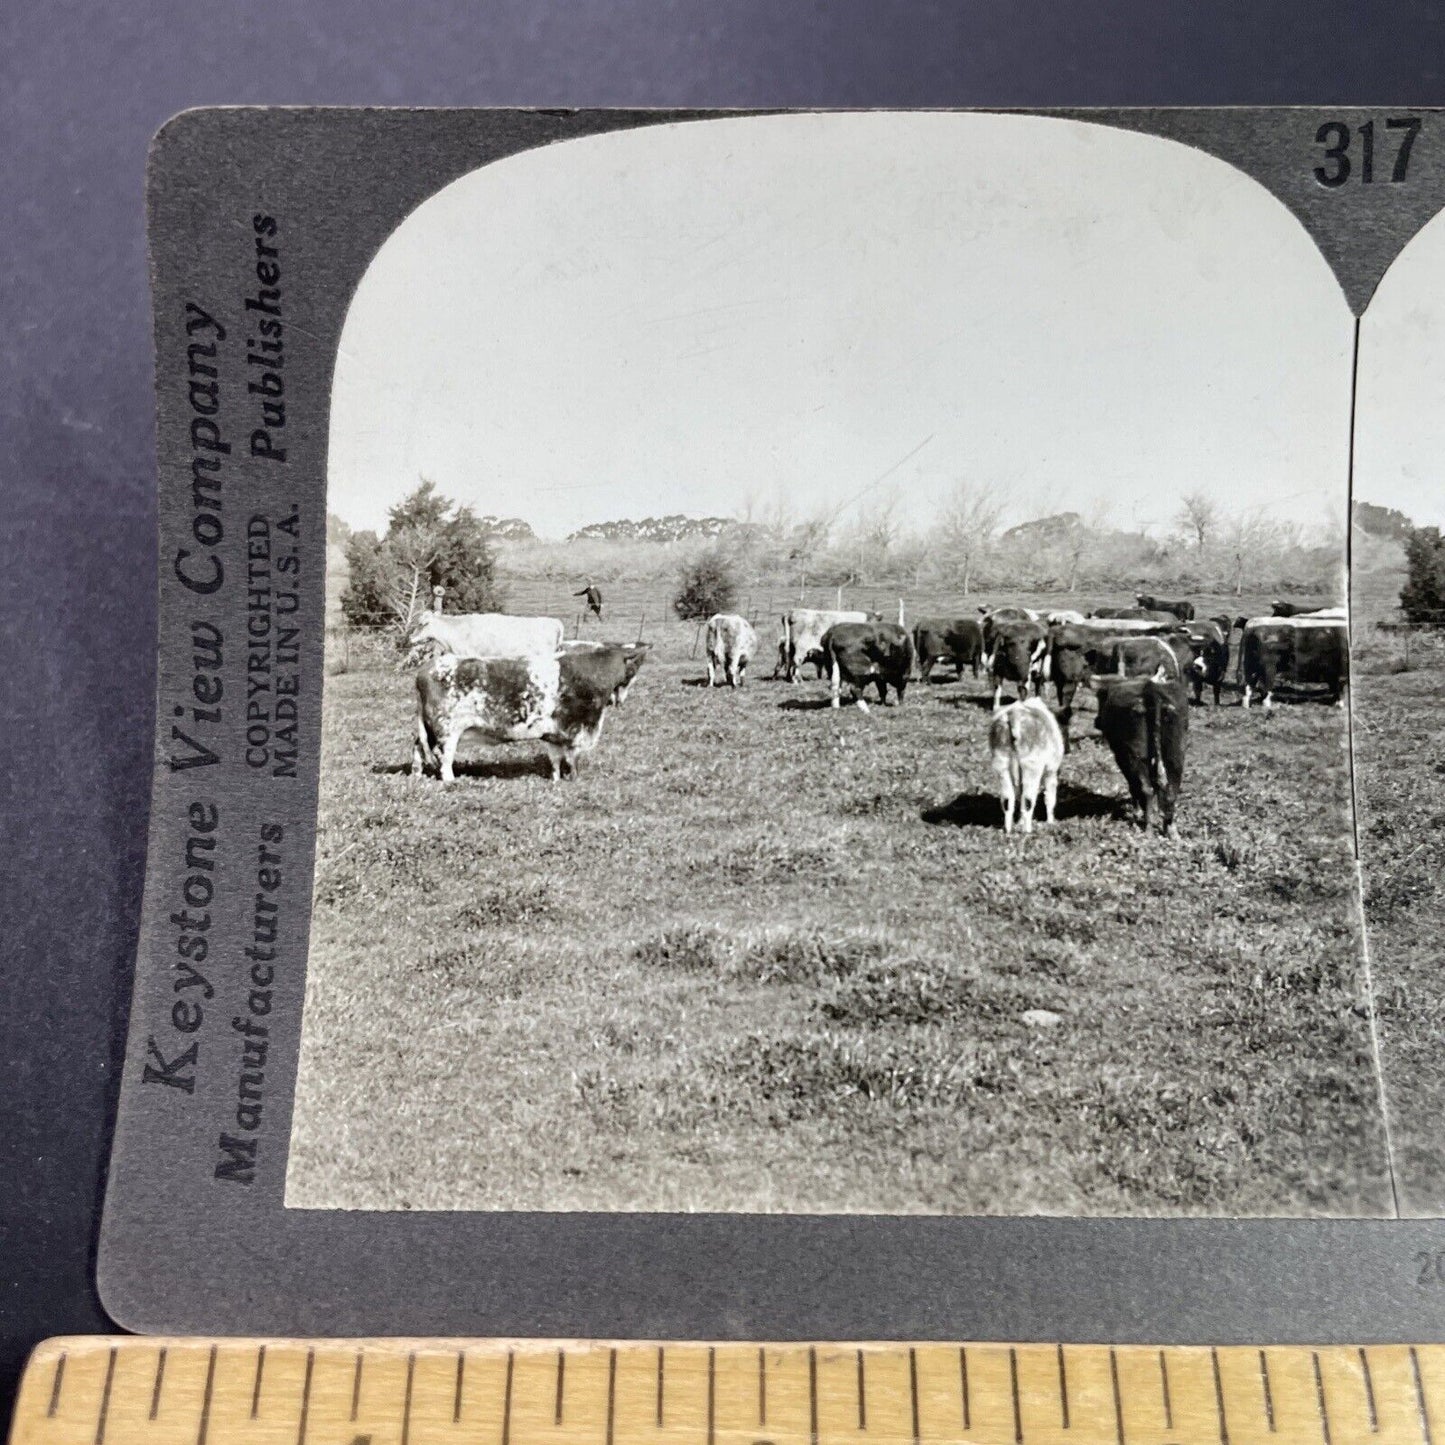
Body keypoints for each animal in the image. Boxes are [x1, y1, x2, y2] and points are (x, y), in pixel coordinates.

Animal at [413, 644, 650, 780]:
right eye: (632, 670)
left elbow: (555, 759)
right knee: (443, 757)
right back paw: (451, 781)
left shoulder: (554, 734)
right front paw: (574, 779)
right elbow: (572, 758)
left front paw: (556, 780)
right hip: (447, 730)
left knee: (418, 748)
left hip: (428, 730)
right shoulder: (575, 729)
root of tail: (426, 668)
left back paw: (417, 775)